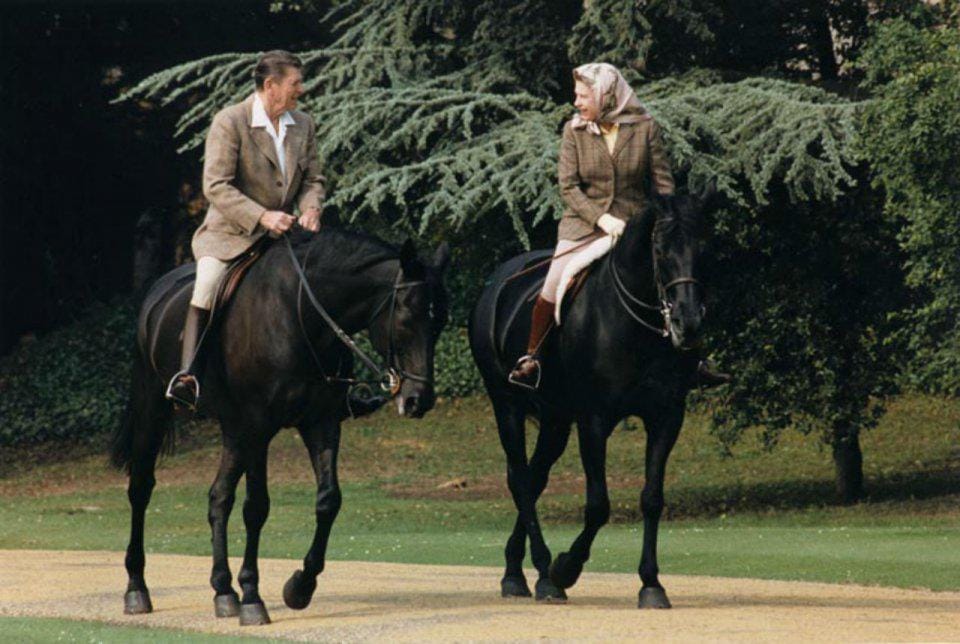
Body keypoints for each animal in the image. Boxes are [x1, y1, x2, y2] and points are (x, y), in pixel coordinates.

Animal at [110, 227, 450, 625]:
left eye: (440, 322)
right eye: (407, 318)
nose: (418, 400)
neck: (302, 316)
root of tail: (158, 291)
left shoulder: (320, 422)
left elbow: (328, 500)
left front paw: (300, 587)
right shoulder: (259, 427)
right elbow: (256, 507)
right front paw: (253, 598)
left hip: (233, 432)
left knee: (218, 498)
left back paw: (223, 591)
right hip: (156, 411)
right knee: (141, 489)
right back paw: (137, 588)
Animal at [468, 191, 711, 607]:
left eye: (703, 247)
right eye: (660, 250)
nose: (688, 324)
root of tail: (497, 280)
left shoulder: (666, 416)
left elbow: (652, 498)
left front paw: (651, 584)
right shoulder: (594, 420)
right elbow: (598, 505)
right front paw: (566, 568)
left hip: (554, 420)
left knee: (535, 478)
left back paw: (516, 571)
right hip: (508, 407)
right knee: (521, 480)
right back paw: (541, 574)